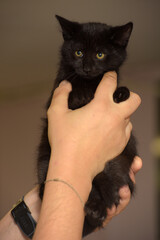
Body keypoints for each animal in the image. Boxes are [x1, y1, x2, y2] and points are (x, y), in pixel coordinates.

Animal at [37, 15, 137, 237]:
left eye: (100, 54)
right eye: (78, 52)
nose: (87, 69)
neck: (90, 84)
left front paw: (120, 94)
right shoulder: (58, 90)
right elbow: (70, 85)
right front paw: (79, 95)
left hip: (121, 157)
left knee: (107, 176)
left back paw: (99, 204)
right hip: (46, 159)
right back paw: (95, 208)